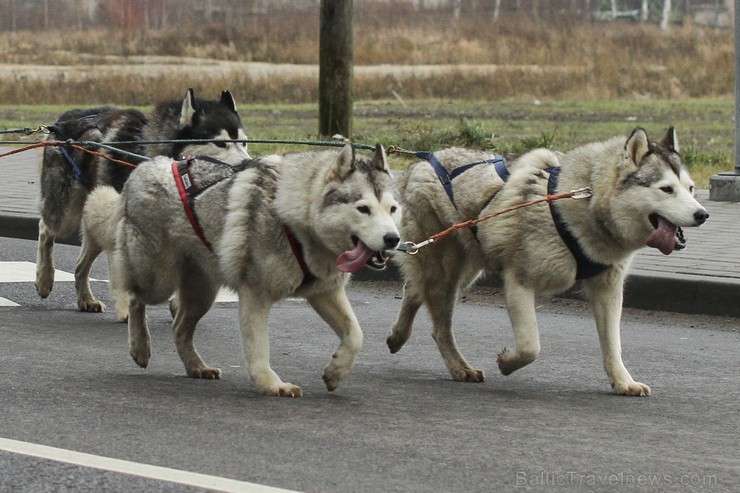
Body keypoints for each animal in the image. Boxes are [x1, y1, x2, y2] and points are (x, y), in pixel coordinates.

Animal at [36, 87, 250, 320]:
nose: (248, 163)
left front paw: (178, 305)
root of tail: (65, 118)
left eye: (244, 142)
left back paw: (86, 298)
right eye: (220, 142)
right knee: (45, 229)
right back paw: (44, 278)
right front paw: (127, 310)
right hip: (67, 215)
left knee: (80, 264)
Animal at [109, 143, 398, 396]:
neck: (296, 221)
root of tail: (146, 166)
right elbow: (259, 348)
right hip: (159, 280)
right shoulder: (254, 295)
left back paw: (197, 367)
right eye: (363, 209)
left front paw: (335, 371)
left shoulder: (325, 293)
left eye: (393, 209)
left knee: (179, 327)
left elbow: (356, 335)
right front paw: (272, 385)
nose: (393, 239)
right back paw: (140, 347)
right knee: (135, 297)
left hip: (202, 294)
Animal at [388, 128, 704, 396]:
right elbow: (531, 346)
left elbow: (613, 344)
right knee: (439, 326)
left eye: (690, 188)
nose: (703, 214)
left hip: (465, 271)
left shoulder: (608, 289)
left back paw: (398, 336)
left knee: (414, 291)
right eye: (666, 189)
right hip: (447, 271)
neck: (585, 200)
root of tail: (419, 163)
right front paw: (507, 363)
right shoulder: (519, 280)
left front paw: (623, 382)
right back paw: (458, 367)